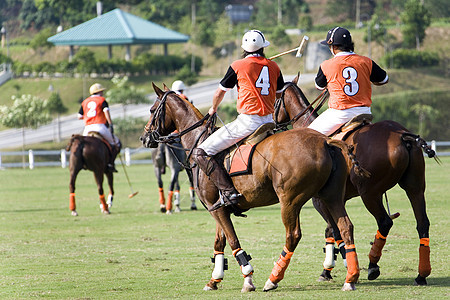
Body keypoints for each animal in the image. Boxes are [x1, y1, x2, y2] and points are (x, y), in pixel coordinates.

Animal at [142, 83, 370, 292]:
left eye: (152, 110)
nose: (144, 138)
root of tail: (325, 141)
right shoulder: (218, 207)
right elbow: (219, 242)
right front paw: (214, 280)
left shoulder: (217, 209)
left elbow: (233, 241)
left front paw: (248, 279)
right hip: (331, 196)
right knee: (345, 227)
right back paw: (351, 277)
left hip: (291, 200)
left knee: (293, 234)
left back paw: (273, 279)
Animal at [276, 76, 438, 284]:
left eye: (275, 101)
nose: (273, 123)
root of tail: (403, 136)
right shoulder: (337, 199)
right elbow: (331, 231)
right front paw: (328, 269)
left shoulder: (320, 201)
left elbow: (335, 230)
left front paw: (338, 267)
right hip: (415, 187)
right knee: (422, 223)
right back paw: (421, 275)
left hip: (370, 193)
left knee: (385, 222)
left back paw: (373, 266)